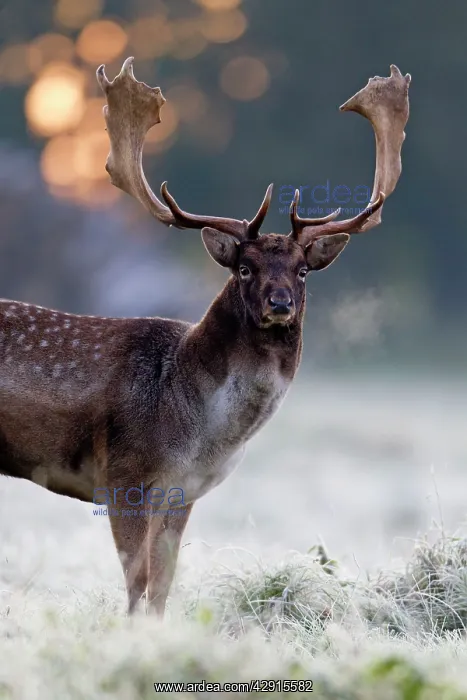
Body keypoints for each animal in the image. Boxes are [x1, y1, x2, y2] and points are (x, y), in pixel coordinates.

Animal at [0, 59, 410, 615]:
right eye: (244, 267)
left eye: (303, 271)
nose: (279, 303)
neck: (202, 430)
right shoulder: (125, 475)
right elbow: (137, 581)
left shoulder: (184, 492)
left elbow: (163, 584)